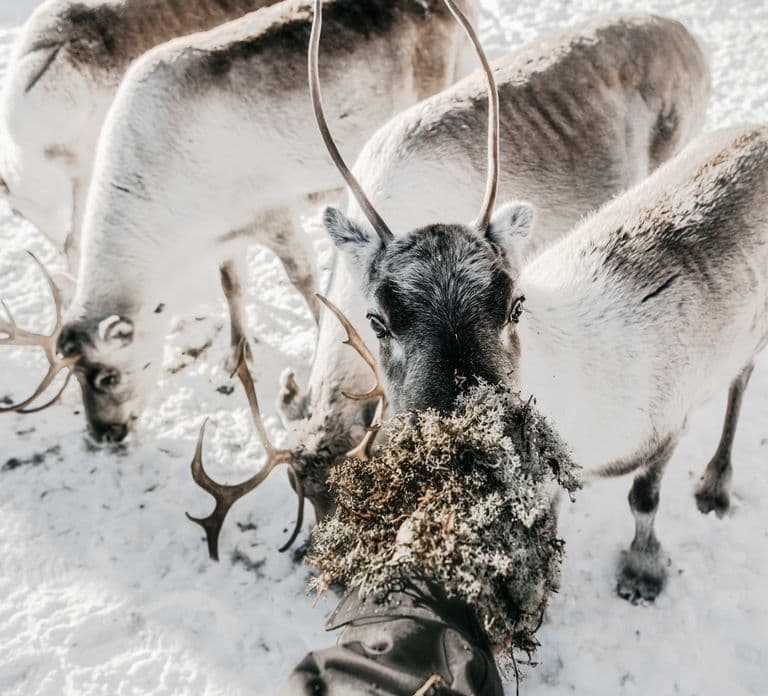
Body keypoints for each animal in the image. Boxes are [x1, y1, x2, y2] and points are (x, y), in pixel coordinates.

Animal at [0, 0, 477, 442]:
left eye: (108, 376)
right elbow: (231, 284)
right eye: (76, 377)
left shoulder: (271, 212)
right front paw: (236, 355)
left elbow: (305, 281)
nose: (104, 434)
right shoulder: (225, 234)